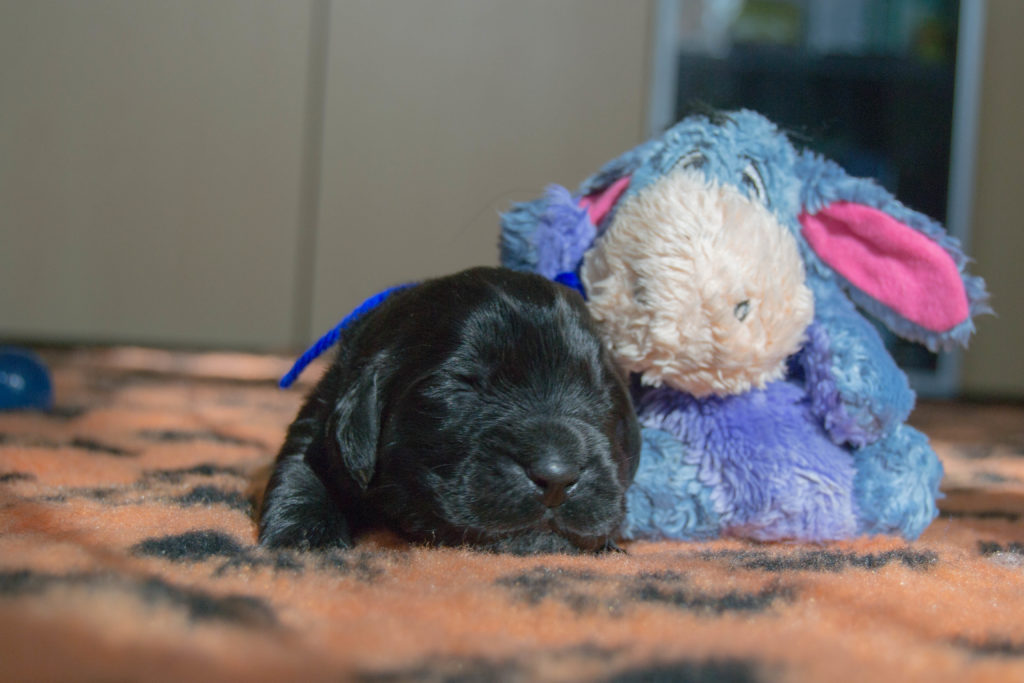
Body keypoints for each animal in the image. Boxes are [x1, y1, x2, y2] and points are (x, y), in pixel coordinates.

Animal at [258, 266, 638, 557]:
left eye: (601, 392)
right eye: (462, 385)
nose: (557, 477)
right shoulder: (320, 418)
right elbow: (302, 471)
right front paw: (305, 540)